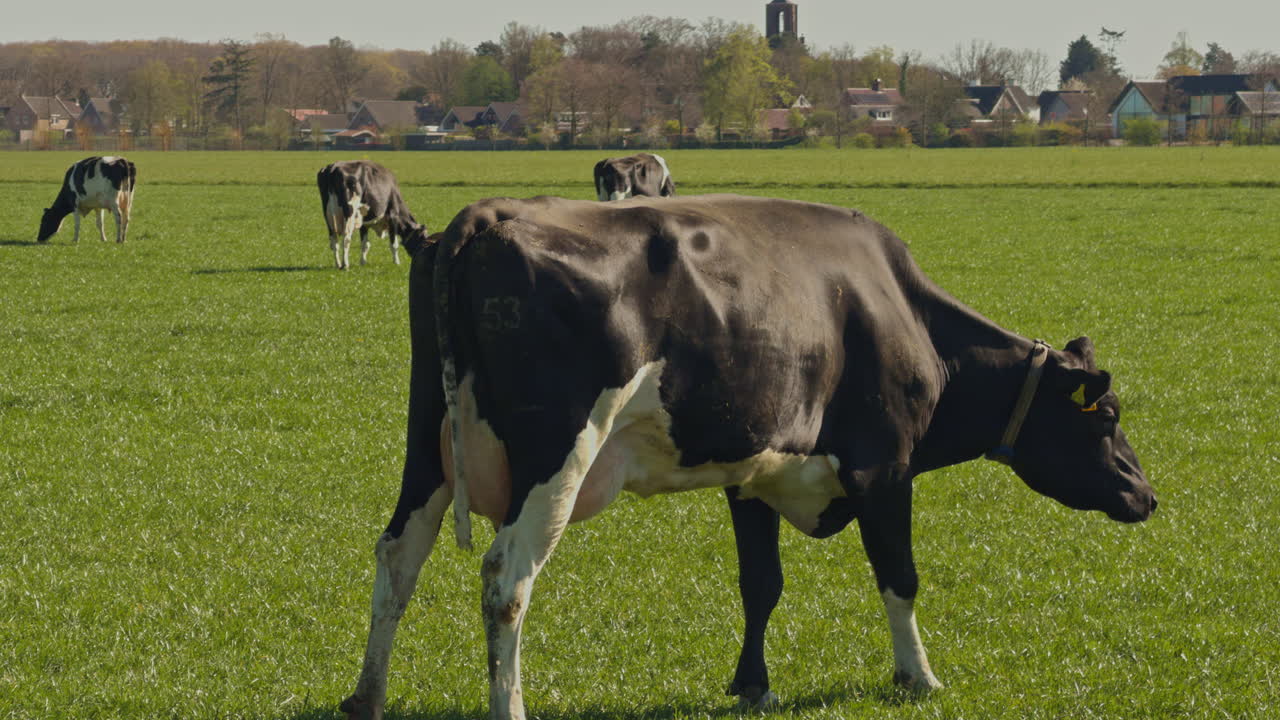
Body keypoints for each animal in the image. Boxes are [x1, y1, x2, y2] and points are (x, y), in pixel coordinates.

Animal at [340, 194, 1156, 720]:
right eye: (1109, 417)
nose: (1146, 495)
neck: (898, 310)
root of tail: (486, 217)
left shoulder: (753, 471)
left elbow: (760, 584)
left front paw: (753, 685)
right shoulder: (883, 467)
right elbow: (900, 577)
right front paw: (918, 677)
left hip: (427, 448)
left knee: (396, 556)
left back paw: (366, 696)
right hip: (556, 459)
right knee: (505, 578)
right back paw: (507, 705)